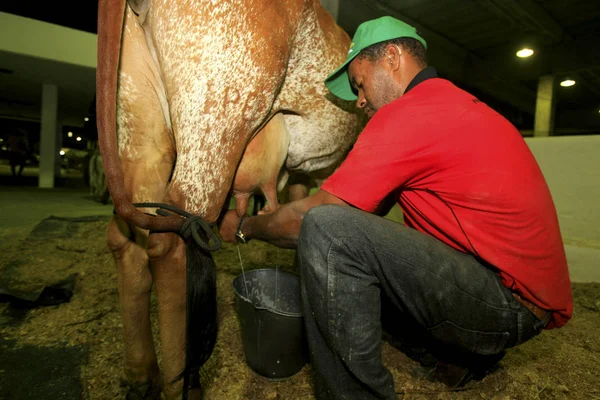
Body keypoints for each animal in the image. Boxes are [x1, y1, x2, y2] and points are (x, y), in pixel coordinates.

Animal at [95, 0, 360, 398]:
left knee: (127, 241)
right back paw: (184, 385)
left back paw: (142, 375)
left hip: (140, 121)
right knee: (175, 243)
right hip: (217, 116)